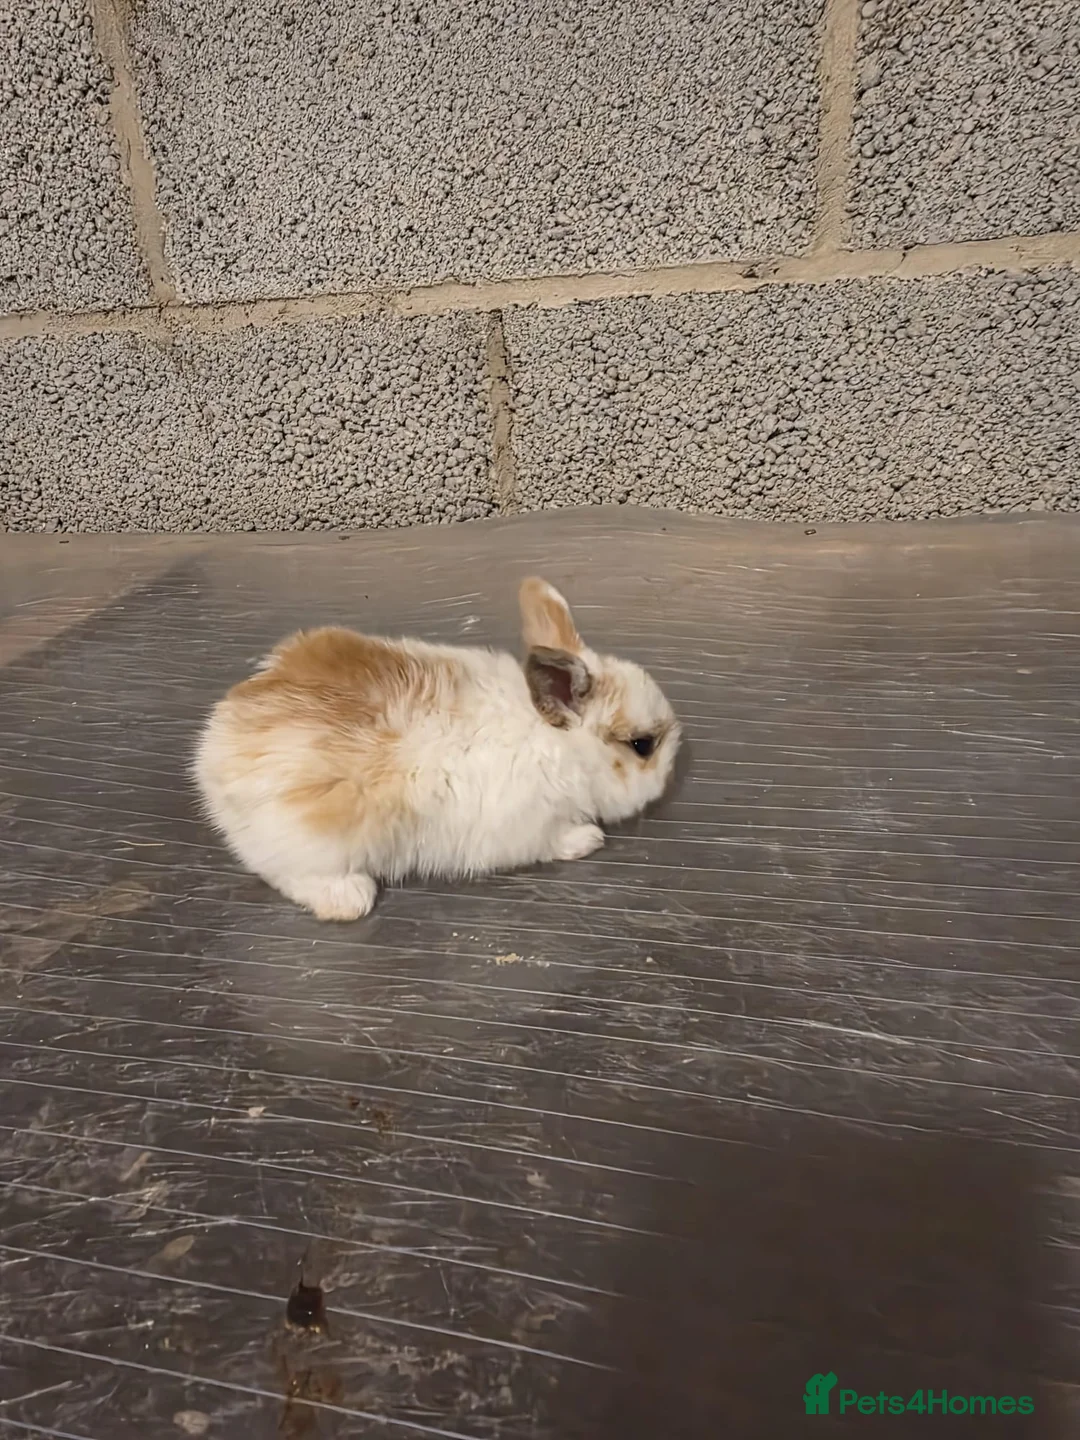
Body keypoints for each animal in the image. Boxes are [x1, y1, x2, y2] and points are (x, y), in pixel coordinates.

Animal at [192, 577, 680, 921]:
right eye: (642, 746)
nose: (673, 768)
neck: (556, 743)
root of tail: (213, 749)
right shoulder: (529, 824)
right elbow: (554, 840)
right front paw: (588, 839)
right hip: (314, 836)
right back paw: (351, 898)